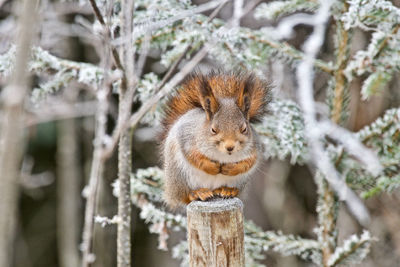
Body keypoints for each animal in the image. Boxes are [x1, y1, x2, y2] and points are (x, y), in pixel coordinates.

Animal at [159, 70, 272, 210]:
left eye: (244, 129)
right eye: (213, 129)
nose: (230, 147)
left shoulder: (254, 147)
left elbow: (250, 162)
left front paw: (231, 169)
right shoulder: (186, 137)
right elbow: (193, 156)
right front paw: (212, 167)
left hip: (240, 181)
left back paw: (228, 190)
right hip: (178, 175)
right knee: (184, 196)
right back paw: (198, 193)